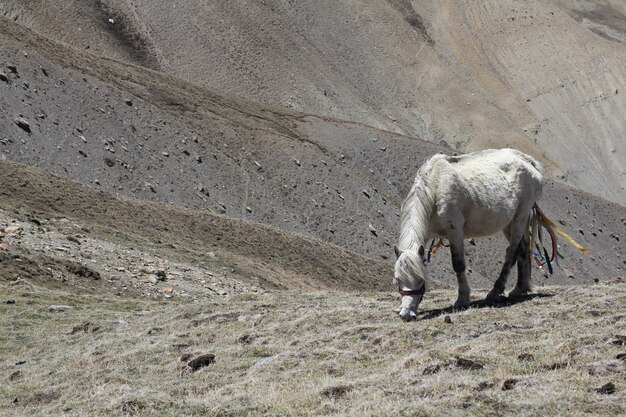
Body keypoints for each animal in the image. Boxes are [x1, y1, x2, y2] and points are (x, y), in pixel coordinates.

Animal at [394, 148, 540, 320]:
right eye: (398, 280)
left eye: (420, 280)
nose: (406, 314)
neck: (434, 188)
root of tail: (528, 161)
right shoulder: (427, 234)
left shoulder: (455, 232)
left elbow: (458, 264)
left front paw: (462, 299)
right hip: (510, 223)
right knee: (522, 248)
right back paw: (520, 288)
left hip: (520, 216)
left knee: (511, 253)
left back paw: (495, 292)